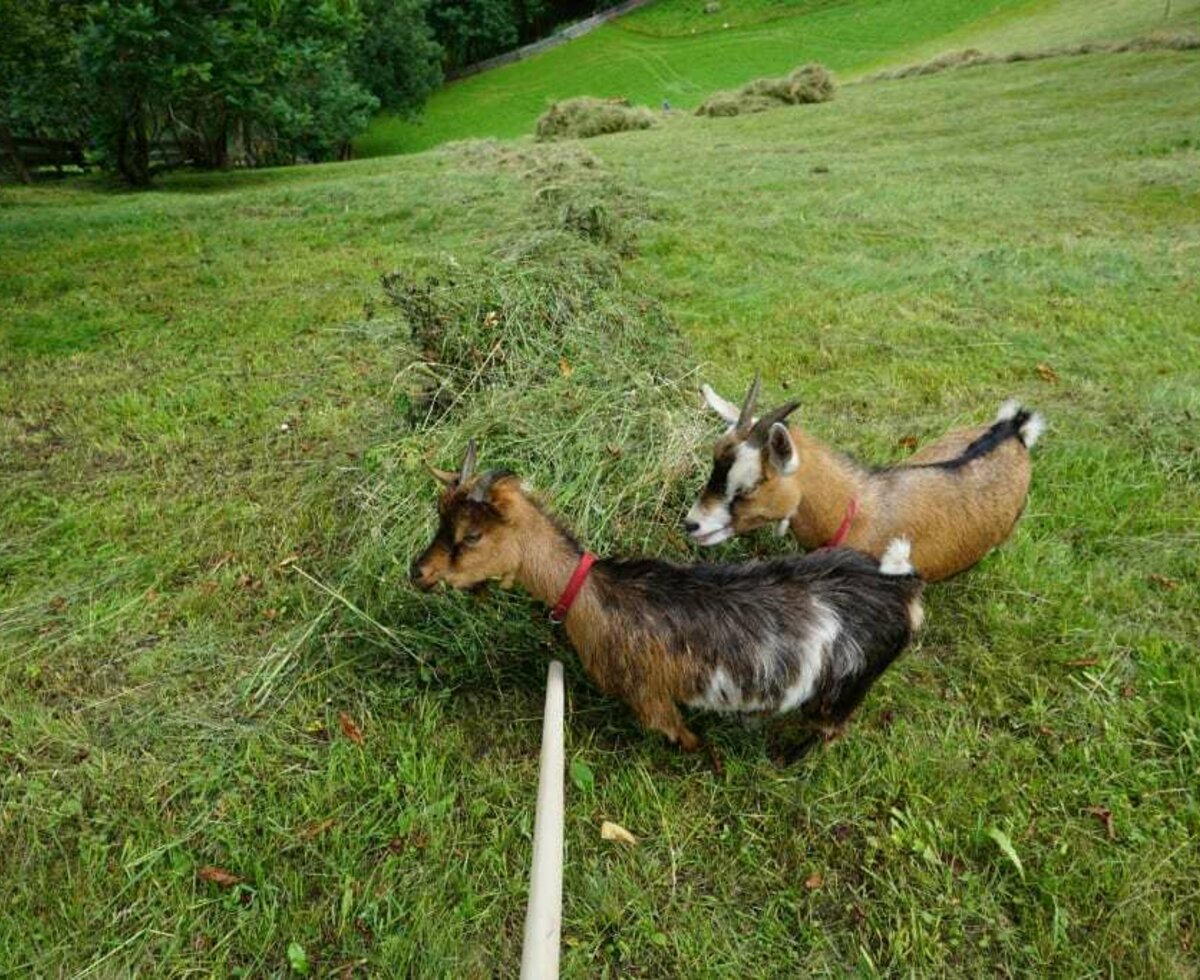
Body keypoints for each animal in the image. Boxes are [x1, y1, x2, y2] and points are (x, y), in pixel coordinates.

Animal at [408, 441, 921, 758]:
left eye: (471, 535)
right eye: (439, 520)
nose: (419, 572)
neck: (595, 594)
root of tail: (903, 589)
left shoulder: (649, 697)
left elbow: (680, 734)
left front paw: (704, 752)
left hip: (847, 684)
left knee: (833, 727)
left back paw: (789, 756)